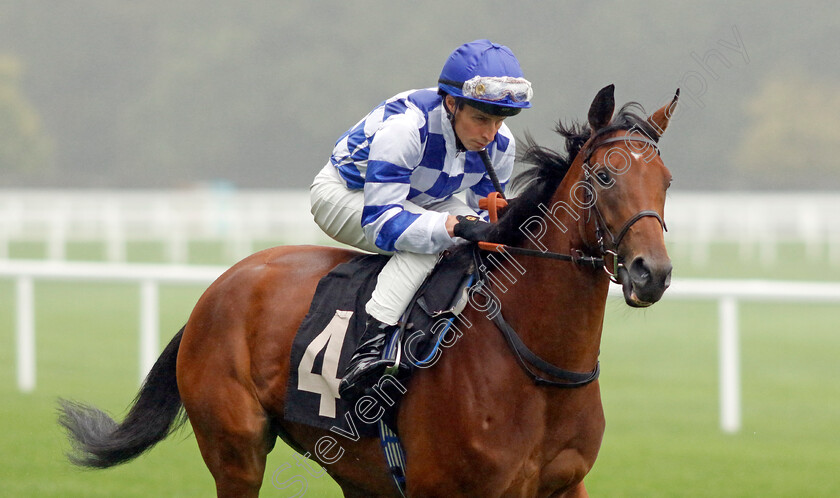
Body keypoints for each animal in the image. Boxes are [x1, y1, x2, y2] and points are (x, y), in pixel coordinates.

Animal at [57, 83, 676, 496]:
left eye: (666, 181)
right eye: (603, 176)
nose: (653, 272)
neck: (538, 367)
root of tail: (219, 287)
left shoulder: (564, 485)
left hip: (355, 471)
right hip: (236, 450)